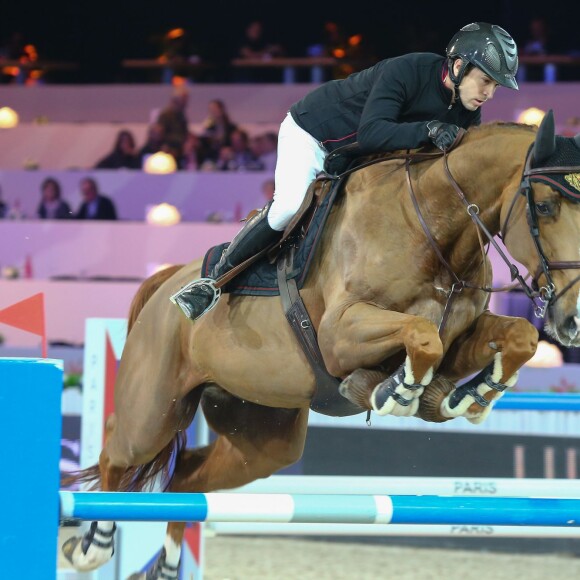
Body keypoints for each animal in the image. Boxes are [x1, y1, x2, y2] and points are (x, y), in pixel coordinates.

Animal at [61, 111, 580, 576]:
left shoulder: (461, 334)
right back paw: (91, 545)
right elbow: (421, 335)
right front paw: (396, 391)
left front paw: (465, 395)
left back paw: (166, 564)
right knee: (118, 455)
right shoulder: (339, 335)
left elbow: (515, 337)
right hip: (155, 409)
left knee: (185, 477)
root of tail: (166, 281)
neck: (432, 225)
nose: (571, 320)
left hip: (261, 438)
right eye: (545, 206)